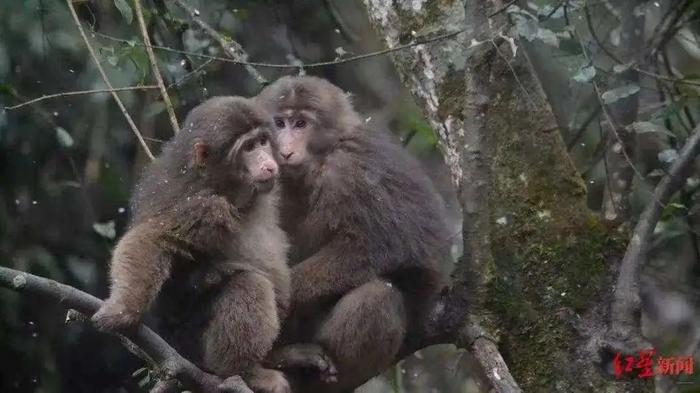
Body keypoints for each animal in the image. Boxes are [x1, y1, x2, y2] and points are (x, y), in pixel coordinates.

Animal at [91, 96, 292, 390]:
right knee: (247, 284)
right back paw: (241, 372)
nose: (268, 163)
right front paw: (124, 308)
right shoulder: (202, 206)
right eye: (248, 148)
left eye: (263, 141)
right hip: (190, 345)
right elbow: (152, 239)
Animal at [258, 77, 448, 392]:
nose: (284, 149)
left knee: (378, 295)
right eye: (279, 123)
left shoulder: (351, 169)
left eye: (300, 124)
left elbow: (390, 244)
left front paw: (283, 293)